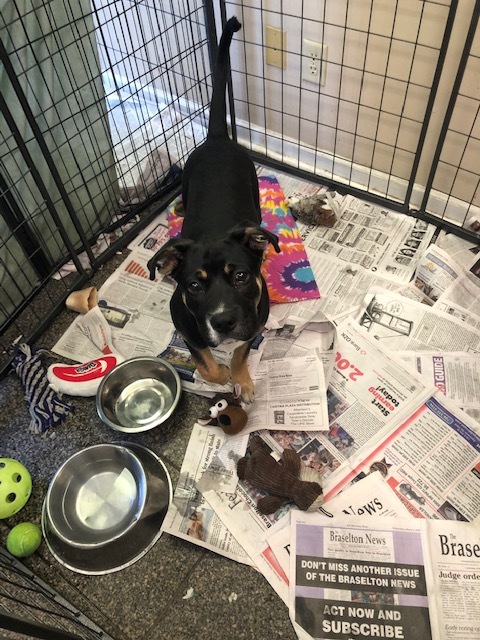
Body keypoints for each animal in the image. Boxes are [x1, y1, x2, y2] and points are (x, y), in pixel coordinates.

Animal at [148, 17, 280, 402]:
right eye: (193, 285)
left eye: (241, 276)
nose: (222, 322)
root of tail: (218, 138)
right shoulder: (184, 322)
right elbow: (206, 362)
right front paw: (219, 376)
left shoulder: (254, 319)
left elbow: (240, 352)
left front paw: (243, 380)